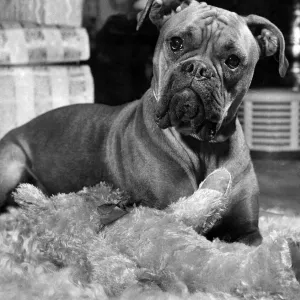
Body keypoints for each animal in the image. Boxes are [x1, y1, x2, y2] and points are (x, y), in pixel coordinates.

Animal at [0, 0, 288, 246]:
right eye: (176, 43)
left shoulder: (248, 232)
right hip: (12, 163)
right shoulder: (167, 215)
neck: (202, 145)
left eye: (233, 61)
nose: (198, 69)